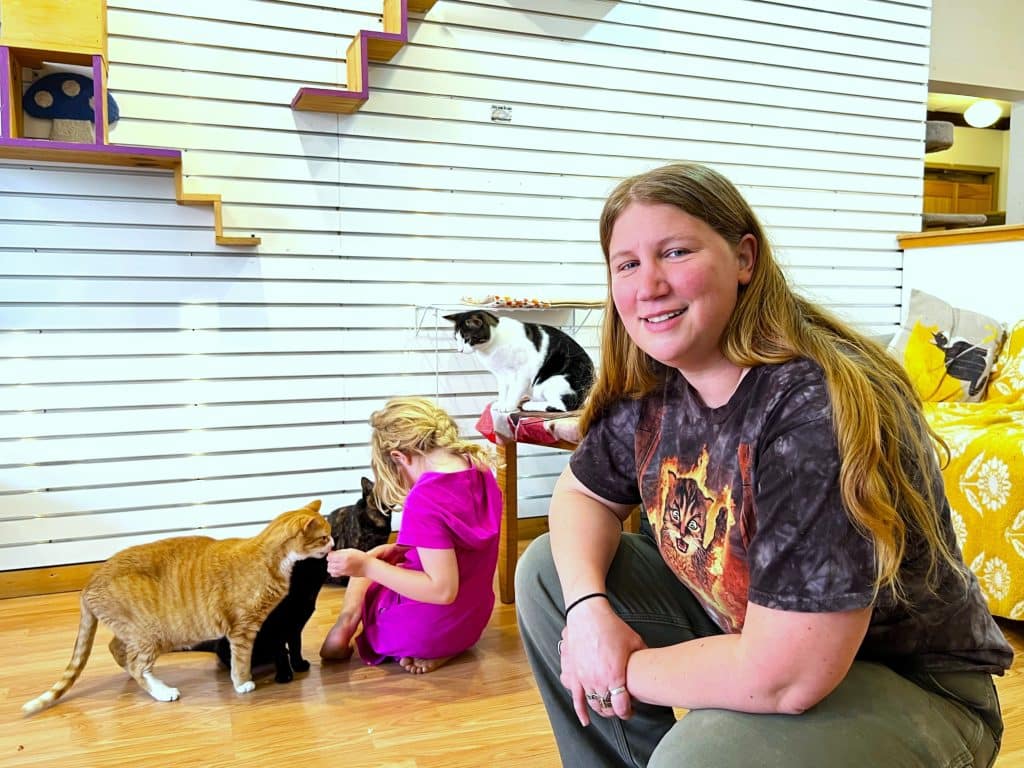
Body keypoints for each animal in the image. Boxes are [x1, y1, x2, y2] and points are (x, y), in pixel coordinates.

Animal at [193, 555, 328, 683]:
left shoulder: (295, 627)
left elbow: (296, 647)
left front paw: (298, 665)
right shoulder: (276, 627)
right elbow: (281, 652)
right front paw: (284, 675)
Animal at [444, 310, 595, 412]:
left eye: (467, 339)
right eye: (456, 339)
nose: (460, 350)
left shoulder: (523, 371)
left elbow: (515, 390)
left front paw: (509, 406)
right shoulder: (501, 375)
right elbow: (503, 391)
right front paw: (501, 403)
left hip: (553, 380)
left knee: (564, 406)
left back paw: (530, 405)